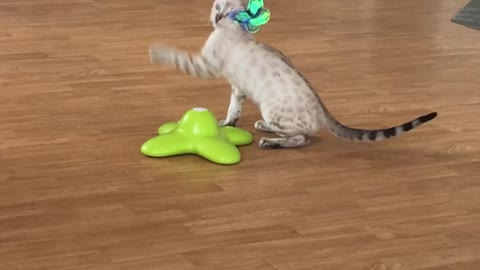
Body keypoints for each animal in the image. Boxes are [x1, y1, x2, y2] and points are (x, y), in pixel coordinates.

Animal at [148, 0, 436, 149]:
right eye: (217, 7)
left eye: (229, 13)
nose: (216, 18)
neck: (234, 31)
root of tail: (322, 108)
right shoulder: (238, 88)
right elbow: (233, 110)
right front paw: (227, 124)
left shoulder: (206, 65)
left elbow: (177, 56)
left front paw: (156, 51)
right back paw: (265, 129)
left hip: (273, 109)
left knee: (303, 137)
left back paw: (269, 140)